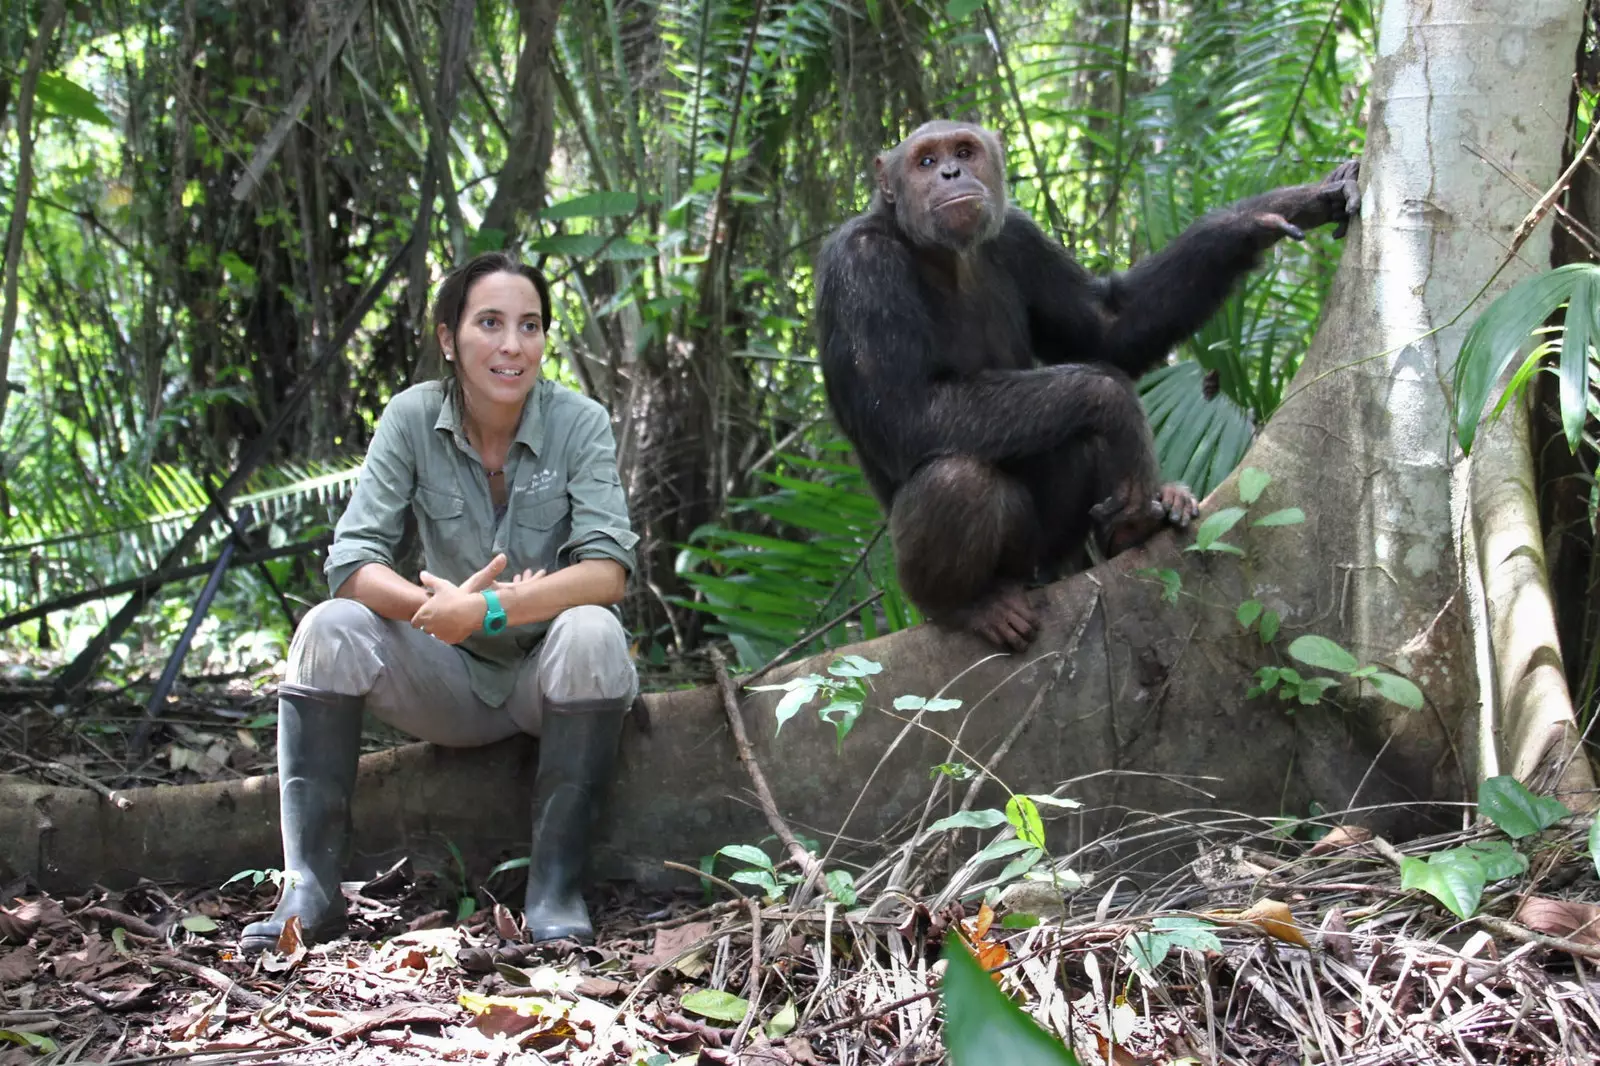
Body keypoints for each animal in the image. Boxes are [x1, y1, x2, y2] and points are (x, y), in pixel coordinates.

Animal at [819, 118, 1356, 646]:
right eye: (925, 161)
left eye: (965, 151)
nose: (950, 172)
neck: (942, 255)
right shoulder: (861, 267)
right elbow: (907, 410)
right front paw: (1115, 401)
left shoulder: (1020, 237)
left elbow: (1108, 326)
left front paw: (1272, 212)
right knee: (956, 480)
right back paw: (970, 605)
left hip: (1060, 550)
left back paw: (1141, 523)